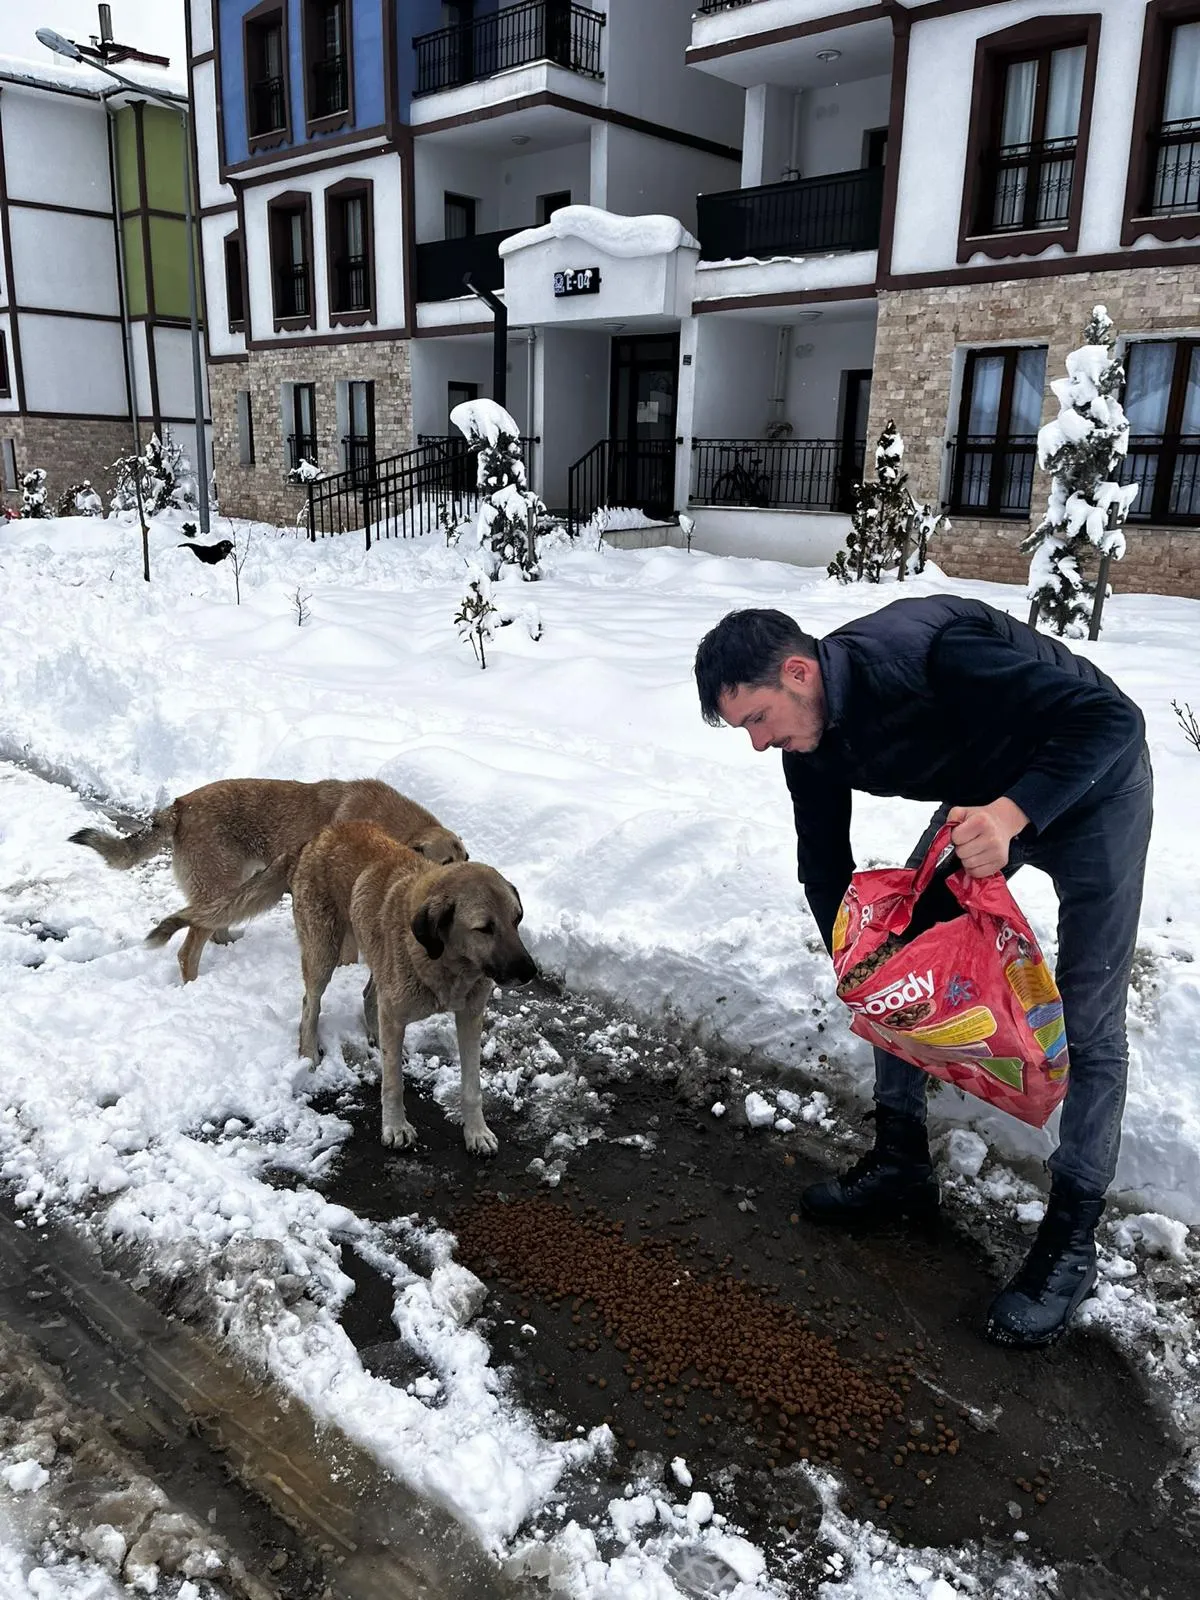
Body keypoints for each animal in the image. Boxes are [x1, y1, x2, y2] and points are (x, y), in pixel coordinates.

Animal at [70, 771, 464, 979]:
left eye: (467, 858)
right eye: (446, 862)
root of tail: (179, 807)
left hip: (232, 882)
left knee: (213, 928)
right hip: (218, 885)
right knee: (189, 947)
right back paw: (192, 984)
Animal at [143, 825, 537, 1152]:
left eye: (517, 919)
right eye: (484, 928)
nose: (530, 971)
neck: (447, 964)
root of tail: (315, 838)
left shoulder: (469, 1016)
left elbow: (472, 1086)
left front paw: (476, 1132)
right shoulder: (398, 1008)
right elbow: (393, 1085)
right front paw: (395, 1127)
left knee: (368, 997)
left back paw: (375, 1038)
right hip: (323, 951)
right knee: (311, 1003)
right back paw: (309, 1052)